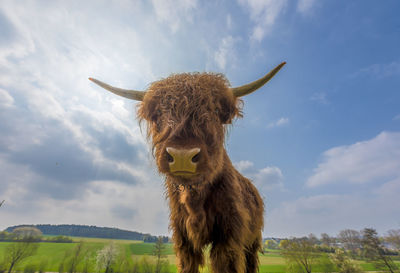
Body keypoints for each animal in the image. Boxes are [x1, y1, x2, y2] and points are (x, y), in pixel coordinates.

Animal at [89, 61, 286, 272]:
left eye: (216, 111)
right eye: (157, 114)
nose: (182, 156)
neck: (195, 199)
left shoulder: (229, 238)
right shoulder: (183, 239)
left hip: (253, 242)